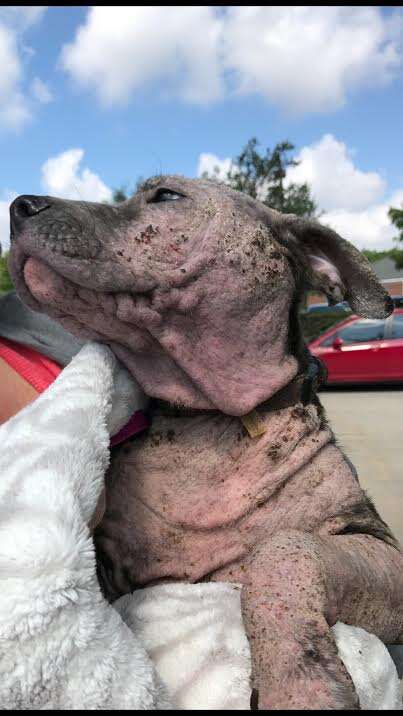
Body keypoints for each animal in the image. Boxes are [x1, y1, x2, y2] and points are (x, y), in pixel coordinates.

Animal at [7, 176, 403, 708]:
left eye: (167, 196)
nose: (18, 205)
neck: (216, 421)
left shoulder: (379, 547)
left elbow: (284, 548)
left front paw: (300, 685)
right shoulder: (106, 570)